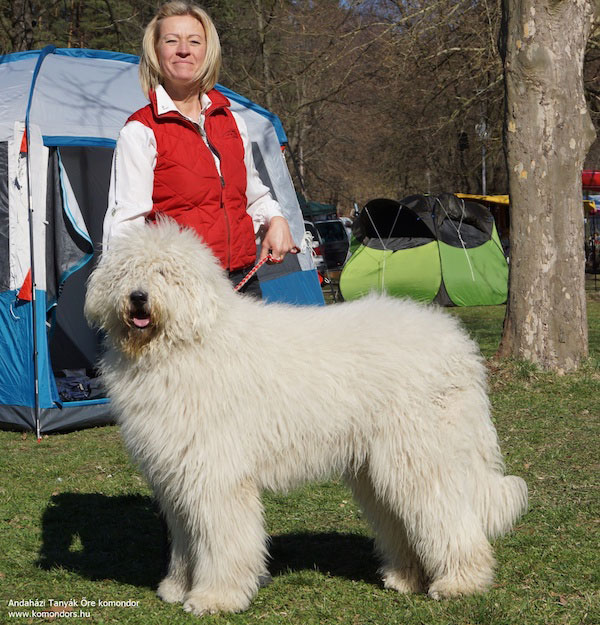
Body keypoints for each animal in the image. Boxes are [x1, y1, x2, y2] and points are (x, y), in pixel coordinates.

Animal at [83, 219, 524, 616]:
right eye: (126, 272)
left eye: (164, 272)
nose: (138, 298)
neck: (187, 343)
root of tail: (458, 345)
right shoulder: (176, 474)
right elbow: (184, 541)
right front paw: (176, 587)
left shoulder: (216, 475)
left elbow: (221, 542)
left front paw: (215, 598)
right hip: (377, 467)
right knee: (403, 520)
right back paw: (405, 578)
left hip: (420, 454)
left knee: (449, 514)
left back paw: (460, 581)